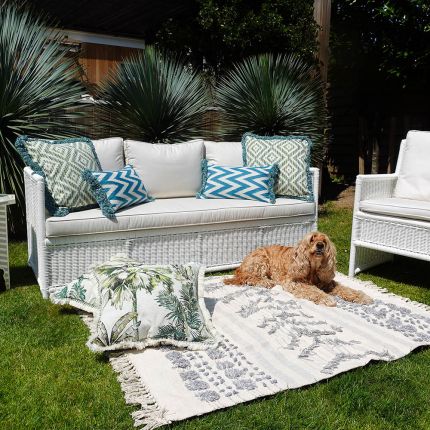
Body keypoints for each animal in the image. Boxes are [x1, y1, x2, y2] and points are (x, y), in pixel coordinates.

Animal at [225, 232, 372, 306]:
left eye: (324, 241)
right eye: (312, 239)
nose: (320, 245)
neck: (313, 268)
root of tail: (241, 265)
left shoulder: (327, 283)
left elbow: (346, 289)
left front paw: (362, 297)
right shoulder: (294, 282)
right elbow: (314, 291)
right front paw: (327, 299)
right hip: (261, 260)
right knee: (247, 277)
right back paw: (266, 282)